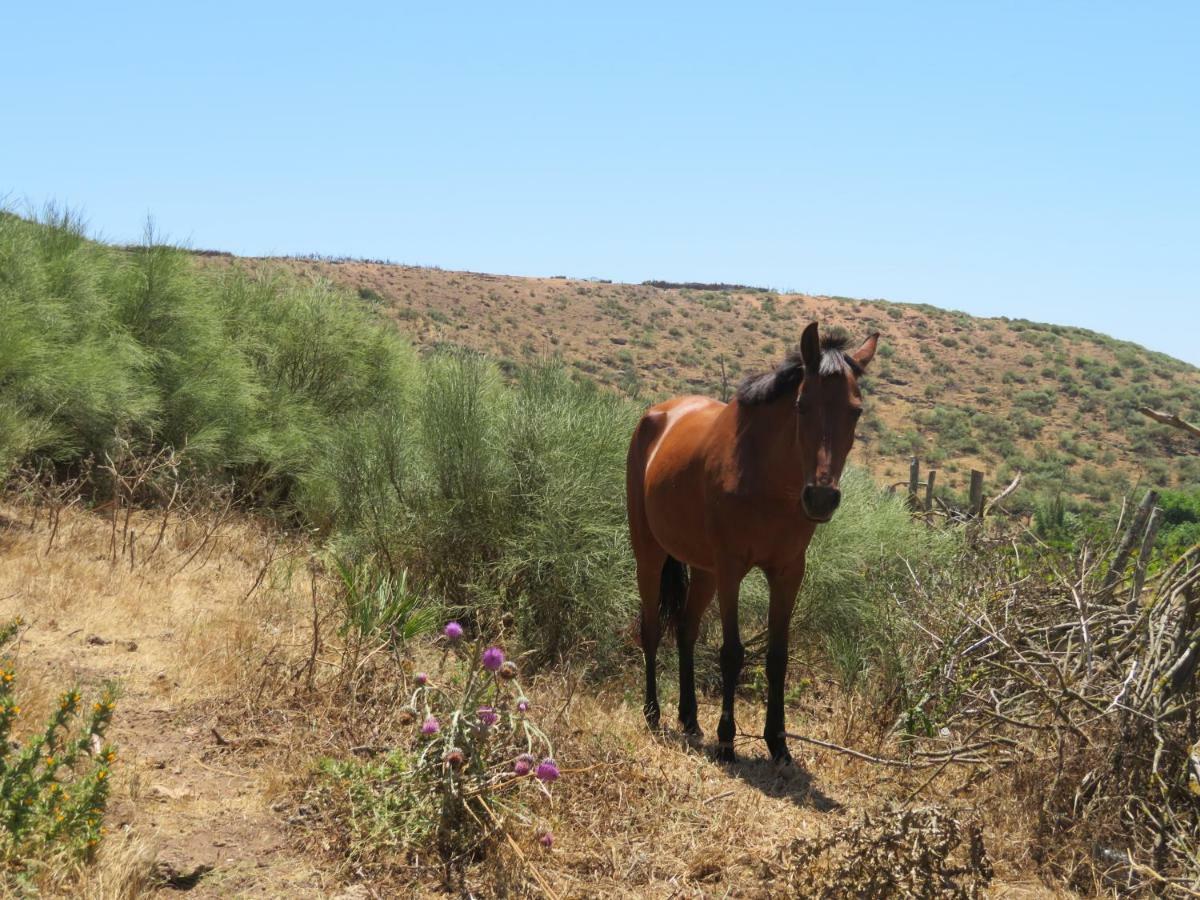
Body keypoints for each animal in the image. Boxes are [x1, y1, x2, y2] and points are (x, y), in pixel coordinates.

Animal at [628, 321, 883, 763]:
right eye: (802, 405)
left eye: (856, 410)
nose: (821, 497)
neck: (766, 478)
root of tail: (655, 415)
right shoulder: (732, 568)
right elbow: (732, 653)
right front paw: (727, 739)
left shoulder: (788, 572)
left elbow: (778, 656)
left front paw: (778, 742)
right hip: (650, 553)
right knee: (652, 629)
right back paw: (654, 713)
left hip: (703, 569)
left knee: (686, 630)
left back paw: (690, 719)